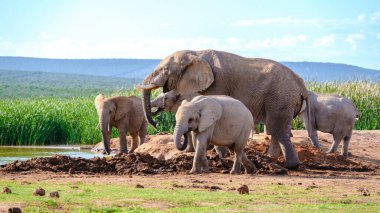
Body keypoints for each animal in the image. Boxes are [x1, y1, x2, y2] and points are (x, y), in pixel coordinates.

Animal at [138, 50, 310, 170]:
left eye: (166, 70)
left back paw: (289, 165)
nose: (156, 125)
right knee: (276, 130)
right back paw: (274, 160)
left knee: (278, 128)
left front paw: (220, 154)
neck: (195, 53)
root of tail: (301, 83)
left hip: (281, 97)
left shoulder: (215, 84)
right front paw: (191, 151)